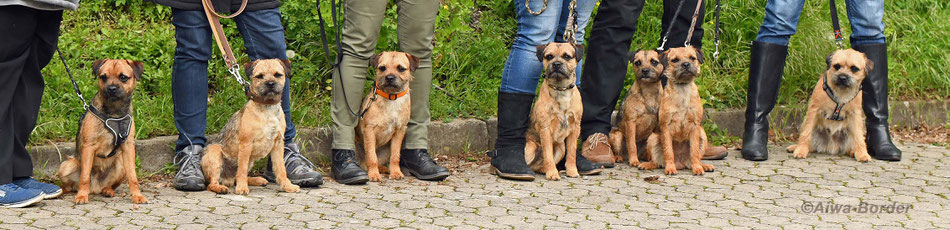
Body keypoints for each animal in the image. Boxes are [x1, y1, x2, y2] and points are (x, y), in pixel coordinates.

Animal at [58, 58, 148, 204]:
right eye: (103, 77)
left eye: (123, 77)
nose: (111, 89)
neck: (114, 113)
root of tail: (95, 187)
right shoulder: (89, 147)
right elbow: (84, 177)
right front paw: (81, 196)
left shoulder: (128, 147)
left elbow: (133, 177)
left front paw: (137, 195)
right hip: (67, 166)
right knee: (70, 186)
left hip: (120, 165)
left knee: (109, 185)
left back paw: (107, 190)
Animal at [203, 58, 300, 194]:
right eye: (260, 76)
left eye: (277, 75)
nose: (270, 83)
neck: (267, 108)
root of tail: (226, 179)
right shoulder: (246, 144)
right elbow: (242, 170)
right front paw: (242, 188)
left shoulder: (278, 144)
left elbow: (281, 169)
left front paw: (287, 186)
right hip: (215, 153)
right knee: (213, 183)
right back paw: (221, 187)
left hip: (250, 160)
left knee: (236, 177)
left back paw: (256, 180)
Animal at [356, 51, 418, 182]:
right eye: (382, 68)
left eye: (401, 68)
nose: (389, 77)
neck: (391, 98)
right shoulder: (369, 130)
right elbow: (371, 157)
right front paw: (373, 175)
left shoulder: (399, 131)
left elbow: (395, 156)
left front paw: (395, 172)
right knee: (366, 162)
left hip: (386, 150)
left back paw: (385, 169)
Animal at [524, 42, 584, 181]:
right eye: (549, 56)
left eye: (567, 56)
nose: (556, 64)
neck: (561, 90)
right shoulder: (545, 129)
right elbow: (548, 155)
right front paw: (552, 173)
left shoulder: (575, 127)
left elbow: (572, 153)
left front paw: (572, 171)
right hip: (529, 148)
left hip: (561, 148)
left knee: (539, 167)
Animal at [644, 47, 716, 176]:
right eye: (675, 60)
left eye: (692, 58)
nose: (686, 64)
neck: (682, 89)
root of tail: (681, 163)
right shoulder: (666, 127)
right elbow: (668, 151)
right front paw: (670, 168)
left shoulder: (695, 127)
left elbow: (694, 151)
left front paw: (697, 168)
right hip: (652, 138)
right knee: (657, 162)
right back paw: (648, 164)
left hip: (702, 134)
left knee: (696, 157)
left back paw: (703, 166)